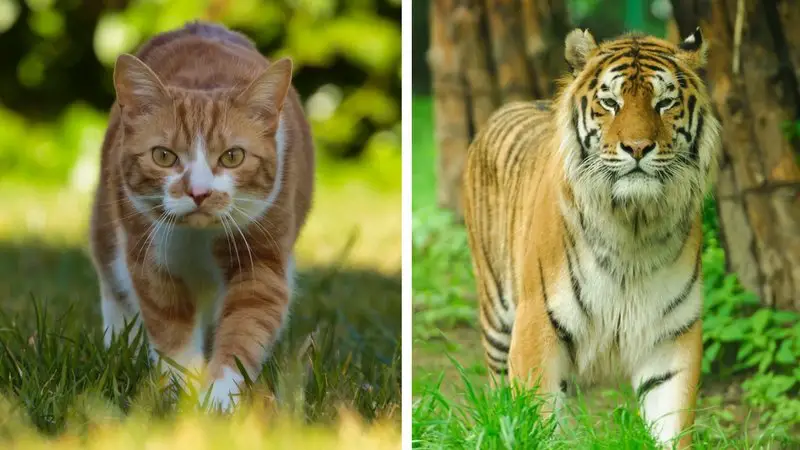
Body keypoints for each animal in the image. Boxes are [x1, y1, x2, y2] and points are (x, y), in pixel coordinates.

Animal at [87, 20, 312, 408]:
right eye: (163, 156)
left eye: (233, 156)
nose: (199, 192)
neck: (198, 237)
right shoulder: (150, 260)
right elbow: (171, 334)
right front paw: (182, 394)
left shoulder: (262, 261)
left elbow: (245, 330)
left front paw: (219, 399)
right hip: (107, 225)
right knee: (113, 284)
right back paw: (120, 346)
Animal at [460, 26, 720, 448]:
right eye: (610, 102)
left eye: (665, 102)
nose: (637, 147)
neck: (633, 224)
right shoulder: (537, 326)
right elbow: (538, 419)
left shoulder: (671, 335)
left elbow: (672, 424)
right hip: (497, 317)